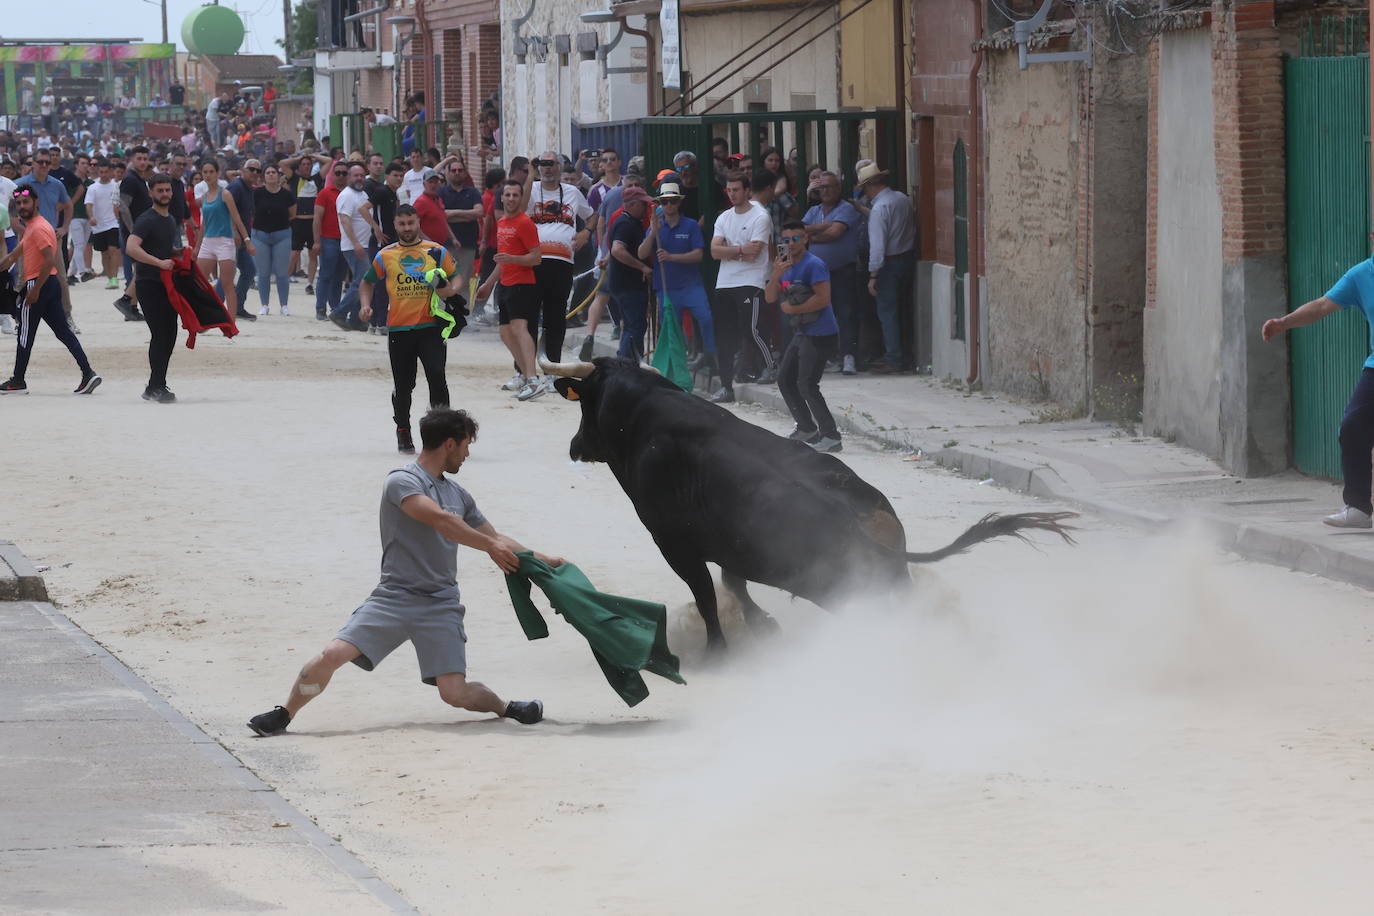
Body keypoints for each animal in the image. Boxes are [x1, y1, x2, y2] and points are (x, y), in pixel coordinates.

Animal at [544, 357, 1071, 650]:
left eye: (583, 403)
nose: (573, 445)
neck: (642, 415)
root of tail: (858, 522)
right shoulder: (729, 544)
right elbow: (733, 584)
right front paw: (765, 627)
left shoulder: (674, 544)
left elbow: (709, 595)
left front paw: (719, 650)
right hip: (888, 582)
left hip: (846, 591)